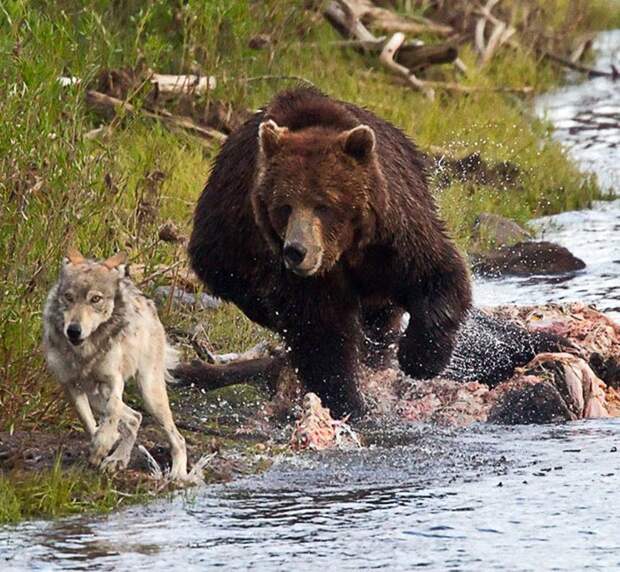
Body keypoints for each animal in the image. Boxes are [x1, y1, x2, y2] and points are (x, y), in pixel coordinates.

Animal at [42, 248, 188, 480]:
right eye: (69, 297)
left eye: (95, 299)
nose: (73, 330)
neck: (85, 351)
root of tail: (147, 302)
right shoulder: (70, 385)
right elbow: (87, 421)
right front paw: (100, 448)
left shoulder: (114, 380)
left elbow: (112, 413)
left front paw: (102, 444)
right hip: (96, 394)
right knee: (135, 417)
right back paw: (118, 459)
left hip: (149, 393)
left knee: (176, 437)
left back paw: (178, 472)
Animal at [186, 86, 472, 416]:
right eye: (284, 206)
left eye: (323, 204)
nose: (296, 251)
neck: (344, 249)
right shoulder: (298, 273)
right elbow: (320, 330)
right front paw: (347, 399)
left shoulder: (391, 234)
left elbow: (435, 273)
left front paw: (420, 358)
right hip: (224, 245)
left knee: (381, 317)